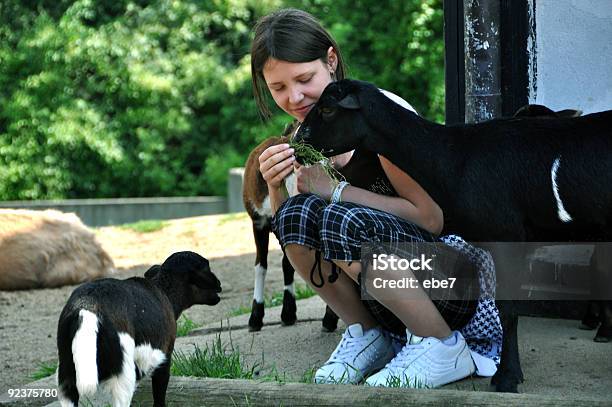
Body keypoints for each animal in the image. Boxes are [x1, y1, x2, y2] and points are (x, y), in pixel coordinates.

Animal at [56, 252, 221, 407]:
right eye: (206, 268)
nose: (219, 283)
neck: (164, 291)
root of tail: (87, 308)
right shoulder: (164, 357)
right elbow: (159, 395)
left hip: (67, 374)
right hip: (123, 376)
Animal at [296, 78, 612, 394]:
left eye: (326, 109)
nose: (298, 143)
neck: (452, 156)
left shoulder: (506, 236)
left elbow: (508, 310)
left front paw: (507, 378)